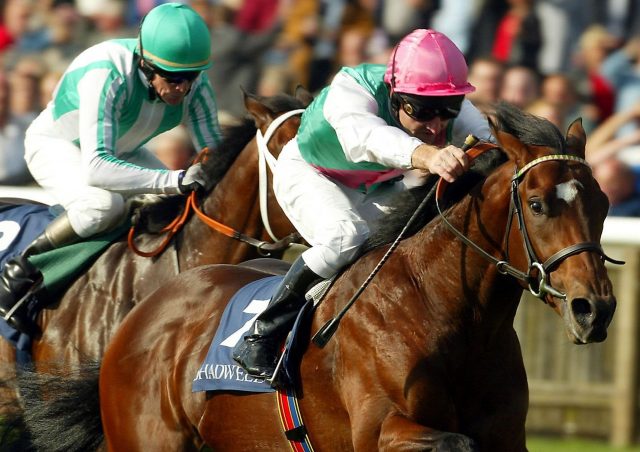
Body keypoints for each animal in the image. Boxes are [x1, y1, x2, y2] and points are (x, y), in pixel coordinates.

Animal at [21, 104, 620, 450]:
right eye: (538, 205)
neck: (449, 312)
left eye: (604, 202)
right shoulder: (382, 430)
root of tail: (141, 316)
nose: (595, 308)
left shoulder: (508, 436)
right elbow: (453, 442)